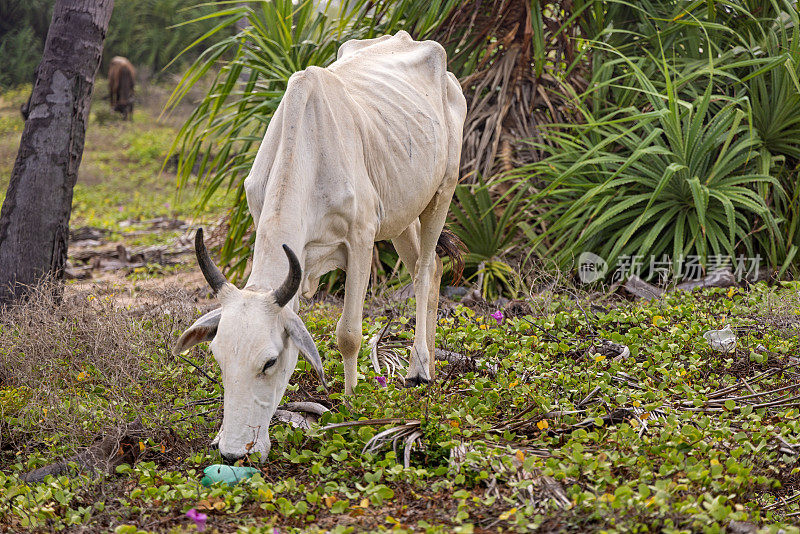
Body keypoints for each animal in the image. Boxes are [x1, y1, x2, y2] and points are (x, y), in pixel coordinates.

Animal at [172, 31, 466, 462]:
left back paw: (420, 366)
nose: (233, 453)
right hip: (401, 212)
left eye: (269, 362)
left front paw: (351, 401)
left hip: (442, 191)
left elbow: (349, 334)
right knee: (431, 269)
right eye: (218, 358)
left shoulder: (360, 241)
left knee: (427, 269)